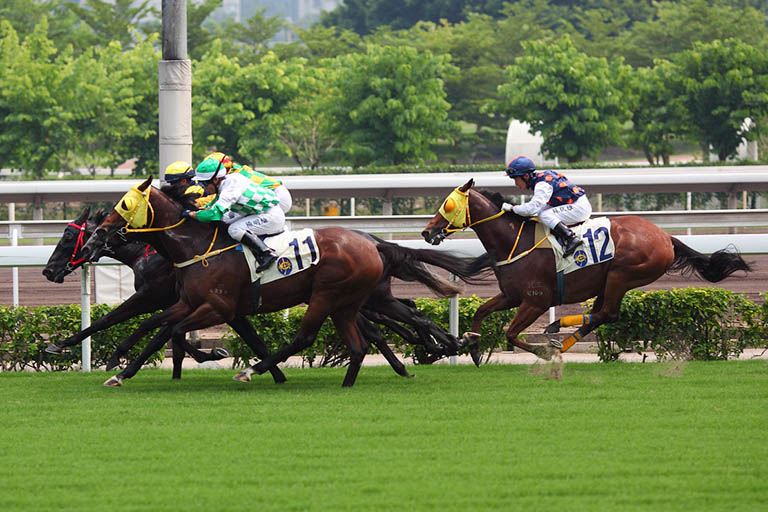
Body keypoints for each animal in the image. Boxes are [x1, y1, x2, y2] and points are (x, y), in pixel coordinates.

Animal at [79, 178, 474, 386]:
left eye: (124, 205)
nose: (97, 237)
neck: (197, 247)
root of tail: (371, 242)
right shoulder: (188, 302)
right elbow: (152, 324)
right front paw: (119, 363)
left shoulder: (216, 307)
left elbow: (170, 330)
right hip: (351, 301)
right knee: (372, 336)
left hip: (327, 296)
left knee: (308, 337)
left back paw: (252, 371)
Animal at [420, 179, 752, 360]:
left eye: (448, 205)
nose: (427, 232)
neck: (514, 240)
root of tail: (665, 237)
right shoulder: (512, 295)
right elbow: (480, 312)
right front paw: (472, 346)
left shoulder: (536, 300)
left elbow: (511, 334)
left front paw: (544, 352)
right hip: (610, 281)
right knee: (601, 313)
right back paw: (560, 332)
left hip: (622, 274)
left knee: (607, 313)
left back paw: (557, 332)